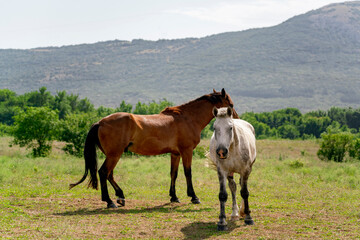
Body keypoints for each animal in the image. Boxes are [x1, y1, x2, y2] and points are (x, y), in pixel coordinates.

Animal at [70, 88, 239, 208]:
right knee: (104, 172)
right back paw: (109, 201)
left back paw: (120, 196)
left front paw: (174, 197)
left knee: (109, 174)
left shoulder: (175, 154)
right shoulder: (186, 151)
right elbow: (188, 173)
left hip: (113, 155)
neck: (188, 118)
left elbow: (174, 174)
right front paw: (193, 196)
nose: (237, 120)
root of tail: (100, 122)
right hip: (114, 155)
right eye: (230, 105)